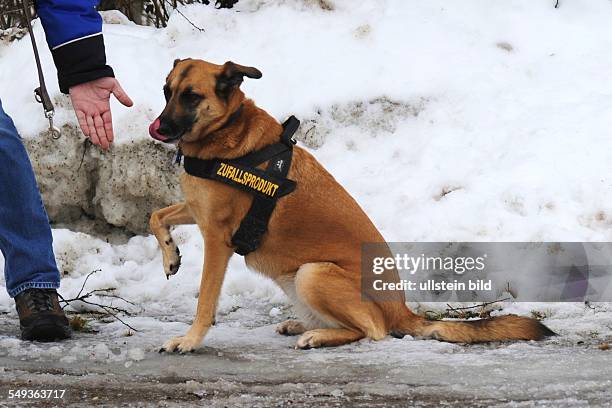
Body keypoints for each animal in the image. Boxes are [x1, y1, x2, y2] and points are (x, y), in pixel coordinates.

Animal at [149, 58, 556, 354]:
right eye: (167, 91)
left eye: (191, 96)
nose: (159, 127)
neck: (226, 131)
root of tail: (402, 311)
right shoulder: (196, 210)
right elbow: (157, 216)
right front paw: (170, 256)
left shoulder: (218, 239)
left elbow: (205, 301)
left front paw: (190, 340)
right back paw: (303, 324)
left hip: (313, 273)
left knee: (373, 330)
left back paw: (317, 336)